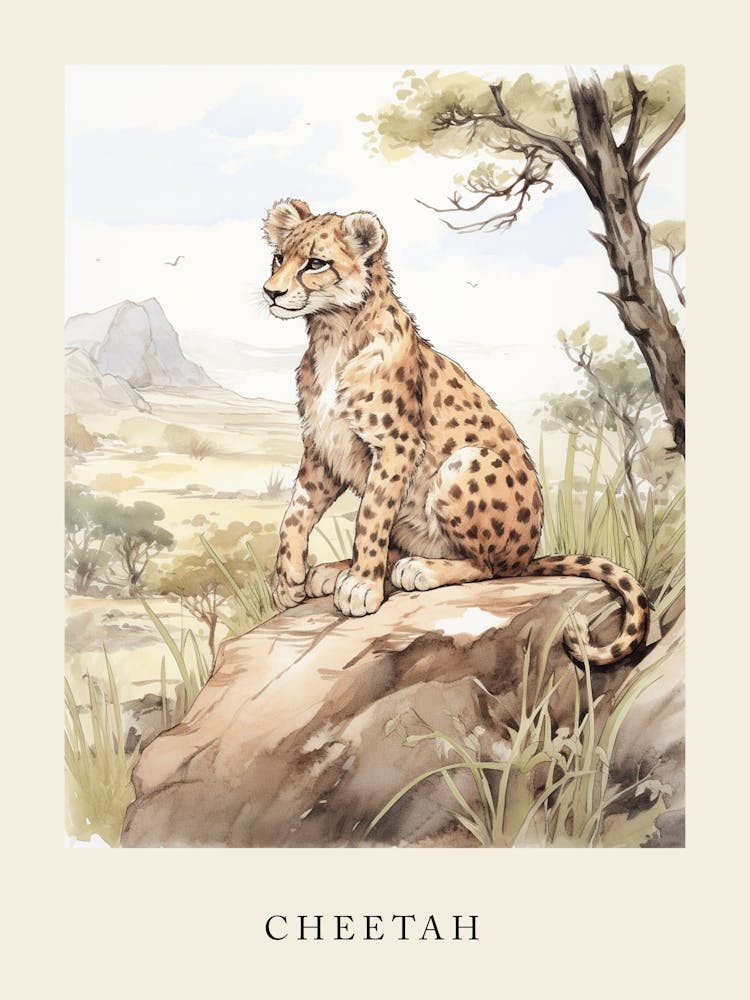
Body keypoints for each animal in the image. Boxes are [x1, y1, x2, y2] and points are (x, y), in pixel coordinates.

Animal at [260, 198, 649, 666]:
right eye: (279, 258)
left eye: (316, 263)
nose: (271, 292)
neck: (332, 333)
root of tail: (528, 555)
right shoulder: (322, 449)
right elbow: (295, 514)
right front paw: (290, 580)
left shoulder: (395, 445)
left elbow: (370, 516)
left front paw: (362, 586)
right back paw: (336, 570)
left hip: (466, 462)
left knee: (488, 567)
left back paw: (414, 570)